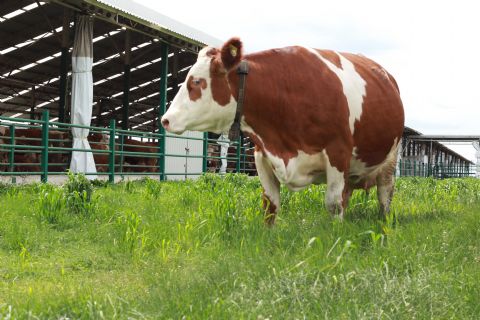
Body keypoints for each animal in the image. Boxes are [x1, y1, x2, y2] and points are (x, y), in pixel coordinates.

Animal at [161, 37, 404, 224]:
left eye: (196, 81)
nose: (165, 120)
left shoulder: (338, 152)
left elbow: (333, 203)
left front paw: (336, 234)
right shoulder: (262, 154)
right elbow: (270, 204)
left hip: (391, 157)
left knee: (385, 194)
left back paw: (385, 223)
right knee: (349, 193)